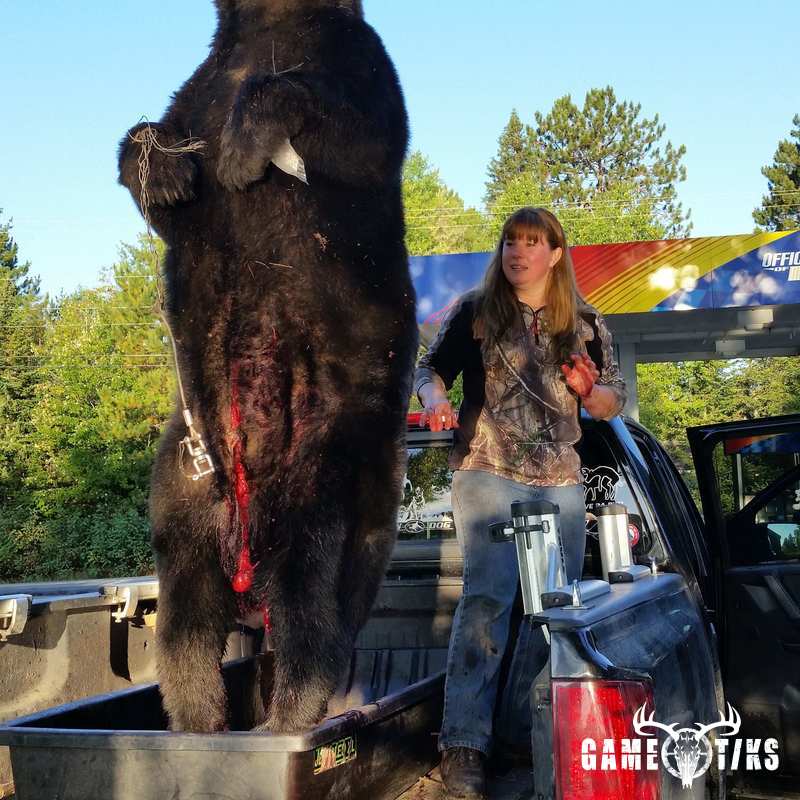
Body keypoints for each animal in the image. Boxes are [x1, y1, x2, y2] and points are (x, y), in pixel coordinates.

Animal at [117, 0, 416, 733]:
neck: (267, 22)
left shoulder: (359, 68)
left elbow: (354, 133)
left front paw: (240, 147)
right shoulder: (199, 89)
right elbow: (160, 168)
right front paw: (163, 166)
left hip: (325, 466)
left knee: (311, 604)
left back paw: (290, 719)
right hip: (183, 483)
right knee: (187, 623)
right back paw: (201, 722)